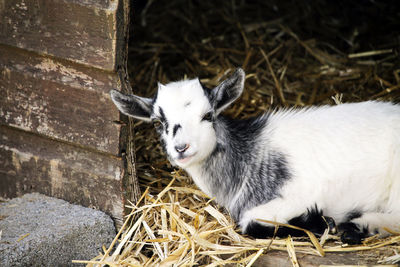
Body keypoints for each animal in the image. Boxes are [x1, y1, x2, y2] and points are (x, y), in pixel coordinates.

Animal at [111, 68, 400, 245]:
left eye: (208, 115)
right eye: (158, 122)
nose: (181, 147)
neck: (248, 155)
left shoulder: (303, 193)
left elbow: (250, 222)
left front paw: (318, 221)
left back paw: (358, 226)